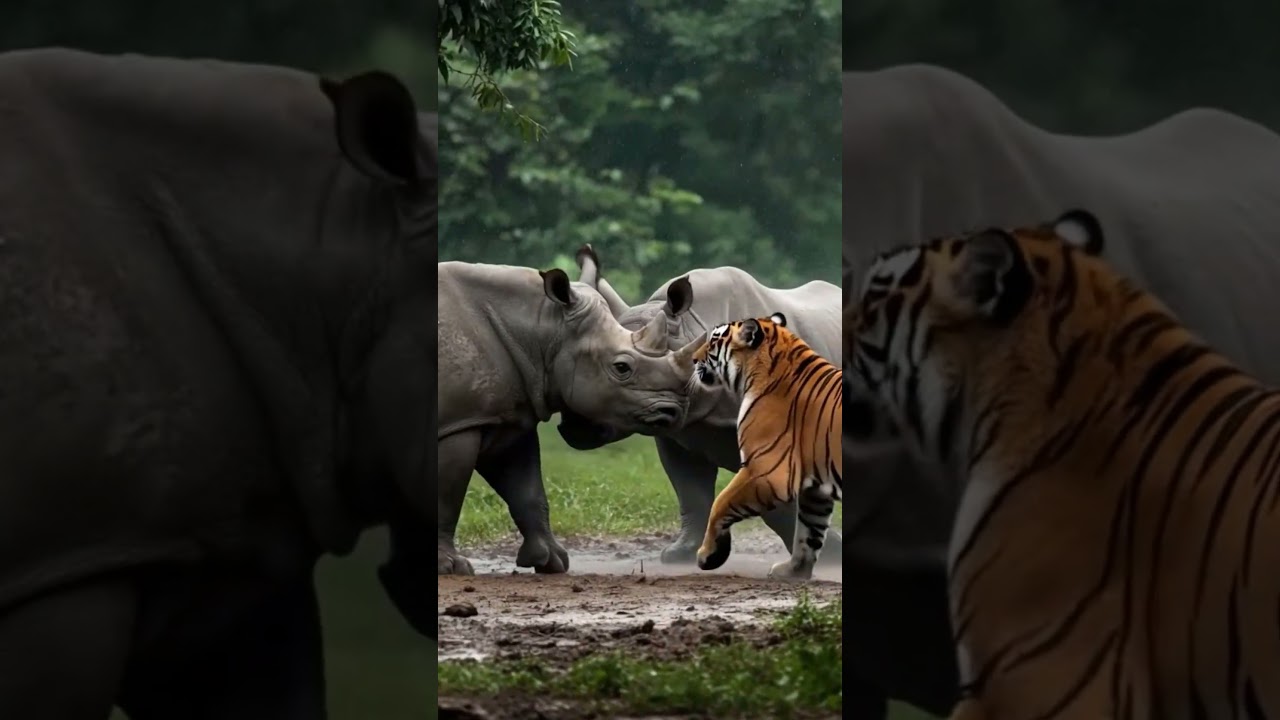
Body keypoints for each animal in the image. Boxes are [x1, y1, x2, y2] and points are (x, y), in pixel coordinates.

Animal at [437, 262, 701, 576]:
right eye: (621, 368)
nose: (675, 411)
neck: (544, 328)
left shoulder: (505, 418)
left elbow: (527, 490)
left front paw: (550, 561)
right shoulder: (457, 422)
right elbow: (447, 495)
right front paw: (450, 567)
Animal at [687, 312, 842, 581]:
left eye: (714, 341)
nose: (693, 359)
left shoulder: (767, 471)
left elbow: (720, 502)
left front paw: (709, 555)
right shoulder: (816, 487)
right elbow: (808, 532)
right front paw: (794, 571)